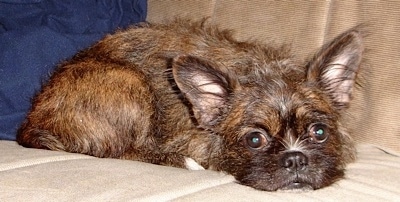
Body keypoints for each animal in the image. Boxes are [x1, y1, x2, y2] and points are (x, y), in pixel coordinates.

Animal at [17, 19, 364, 191]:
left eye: (319, 132)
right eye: (255, 139)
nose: (295, 159)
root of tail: (33, 122)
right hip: (130, 82)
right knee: (121, 151)